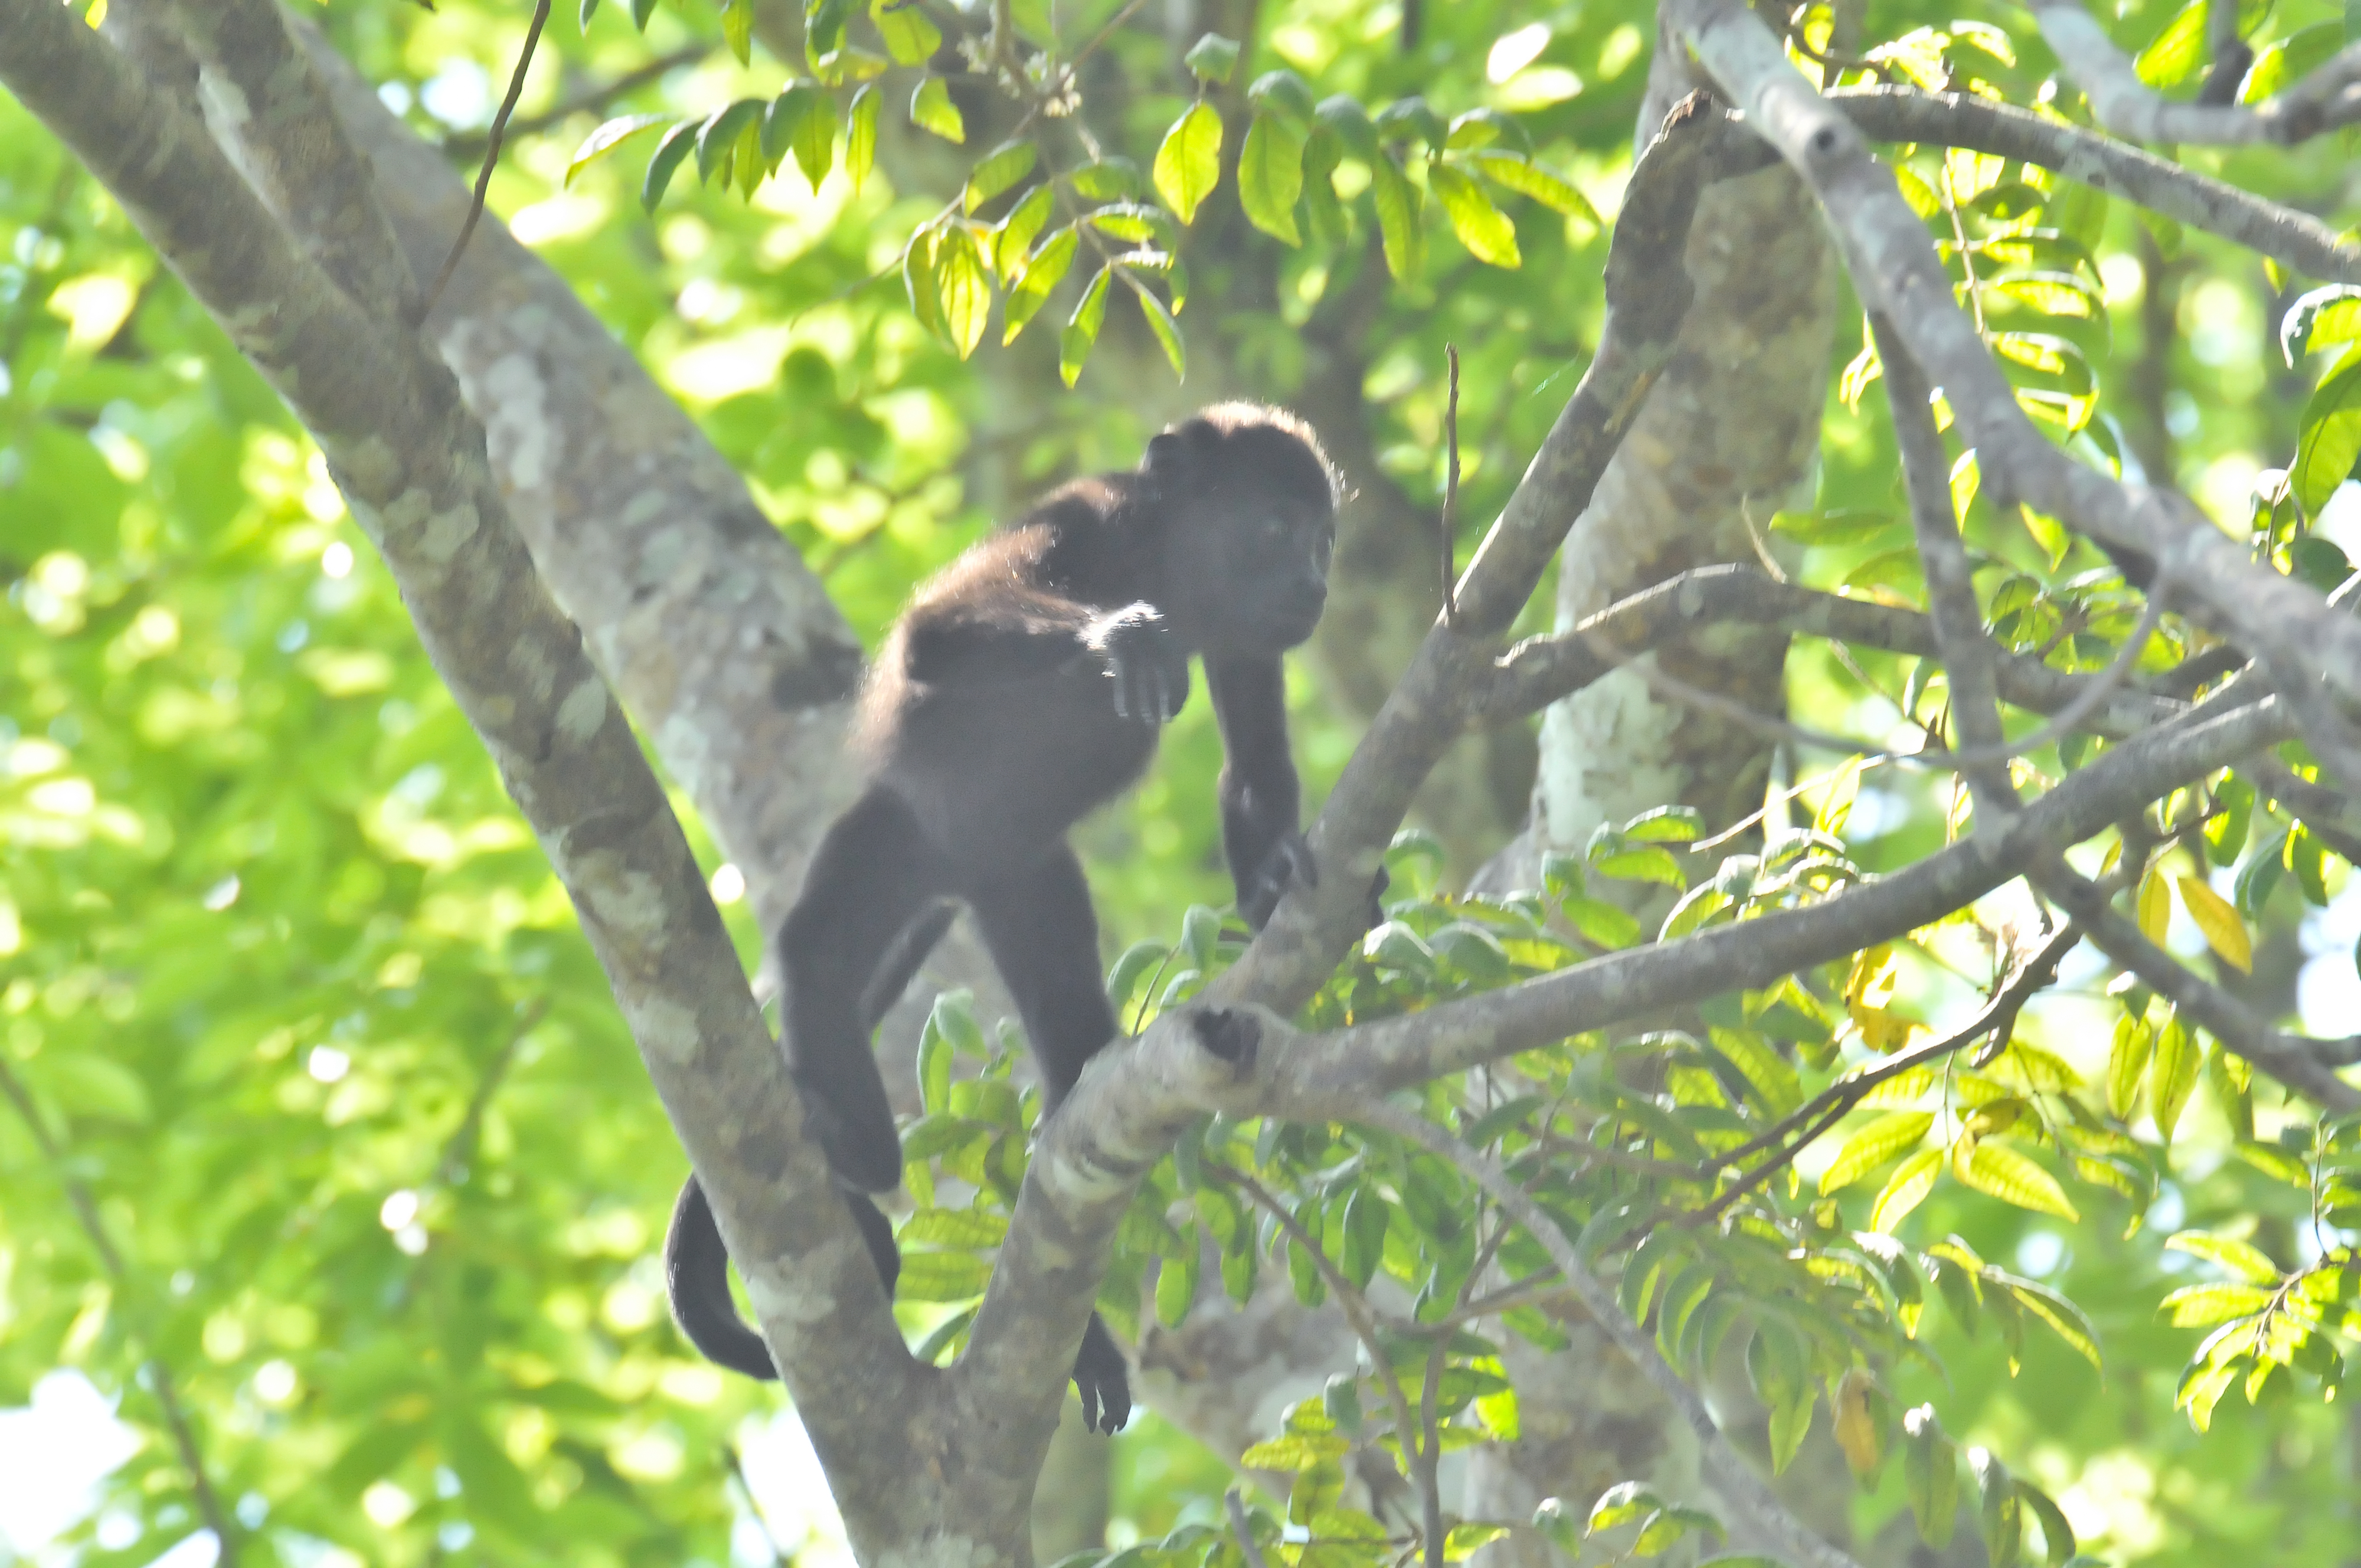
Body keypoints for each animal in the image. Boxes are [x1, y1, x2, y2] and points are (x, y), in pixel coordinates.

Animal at [675, 401, 1360, 1435]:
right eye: (1279, 526)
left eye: (1324, 537)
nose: (1319, 583)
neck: (1165, 562)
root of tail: (971, 868)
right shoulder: (1086, 520)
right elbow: (938, 630)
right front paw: (1119, 638)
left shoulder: (1248, 636)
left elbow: (1253, 762)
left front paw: (1277, 877)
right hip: (909, 826)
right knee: (818, 953)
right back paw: (855, 1144)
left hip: (1023, 880)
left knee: (1070, 1043)